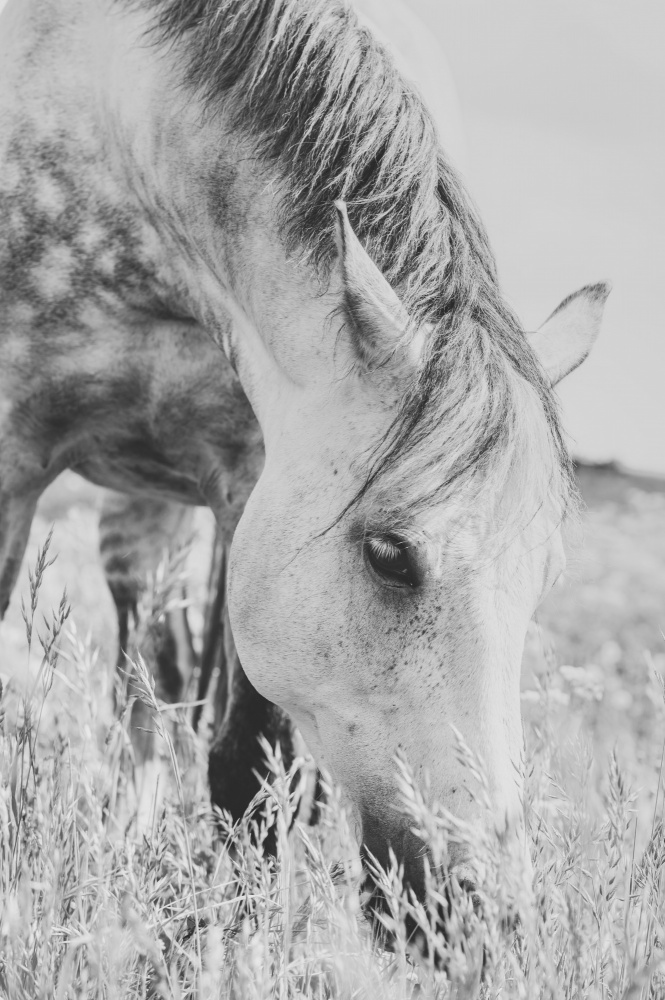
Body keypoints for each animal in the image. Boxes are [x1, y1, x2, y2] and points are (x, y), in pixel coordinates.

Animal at [0, 0, 608, 912]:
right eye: (389, 555)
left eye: (543, 577)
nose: (481, 908)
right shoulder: (12, 454)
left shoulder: (250, 477)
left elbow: (248, 770)